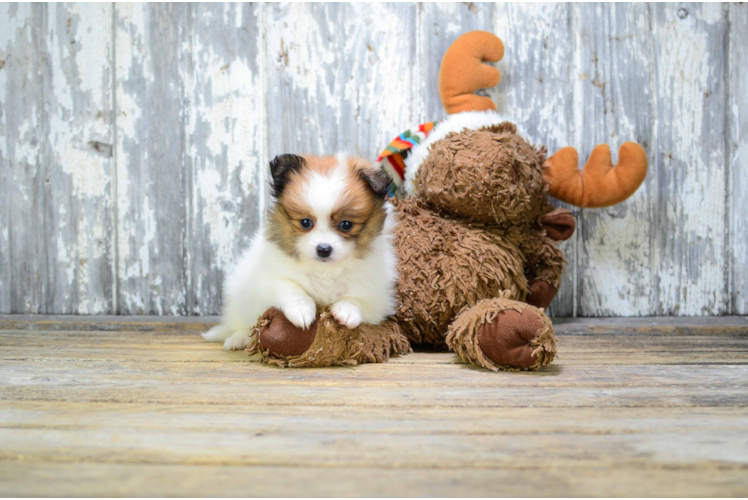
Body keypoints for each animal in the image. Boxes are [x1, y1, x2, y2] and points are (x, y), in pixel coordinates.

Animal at [199, 153, 398, 352]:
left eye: (346, 225)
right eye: (305, 222)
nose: (323, 249)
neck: (325, 270)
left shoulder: (378, 298)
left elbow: (358, 300)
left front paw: (346, 311)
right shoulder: (266, 281)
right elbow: (290, 287)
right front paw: (302, 310)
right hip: (238, 292)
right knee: (240, 322)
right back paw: (238, 339)